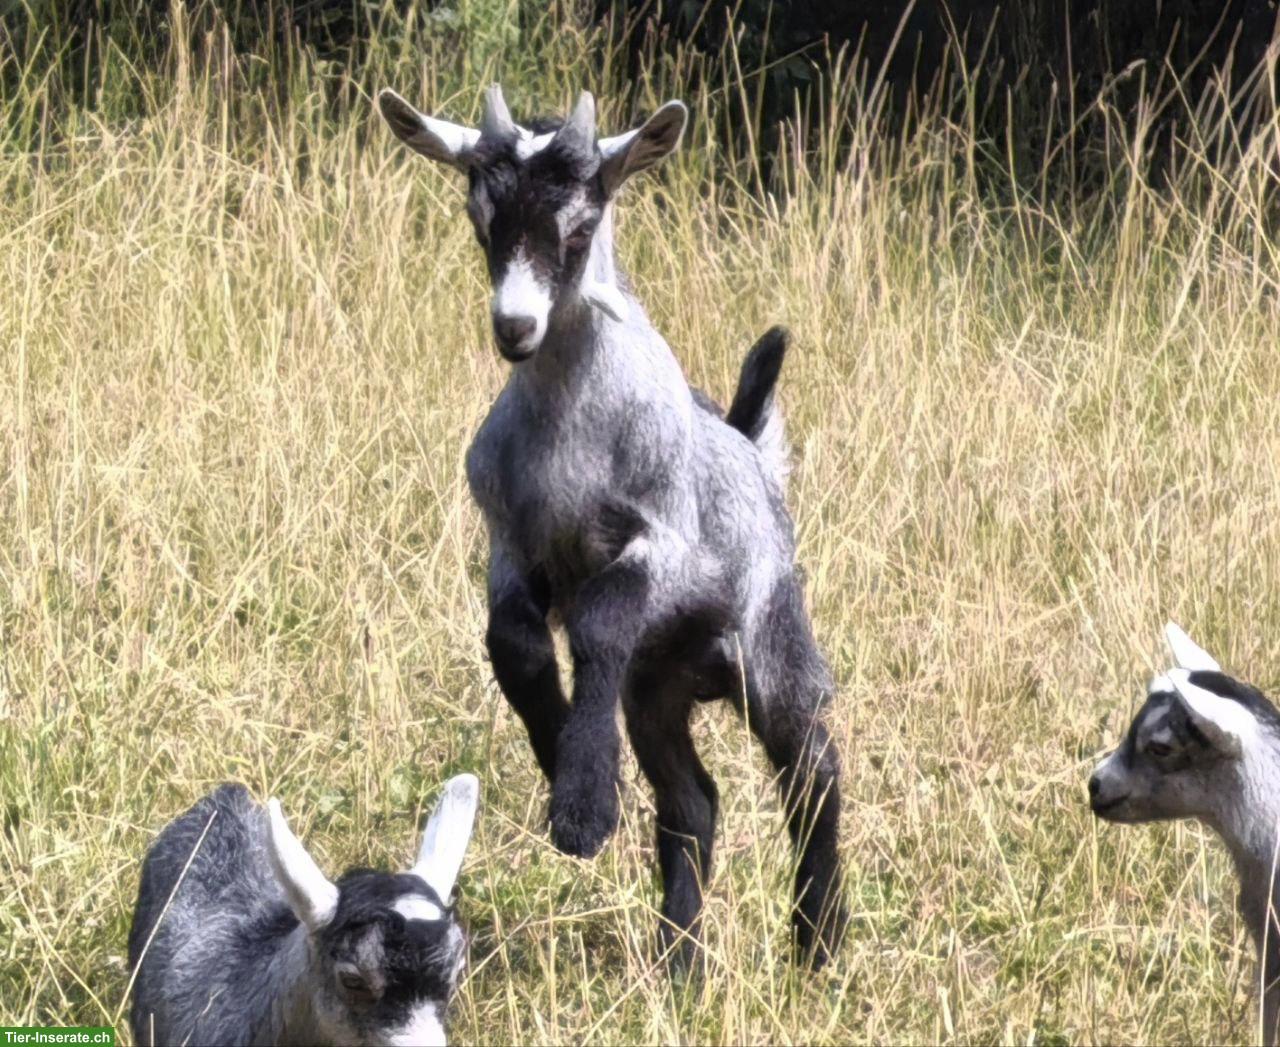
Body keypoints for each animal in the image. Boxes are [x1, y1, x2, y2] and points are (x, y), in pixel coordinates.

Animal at [378, 84, 846, 966]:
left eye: (580, 225)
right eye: (480, 218)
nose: (514, 327)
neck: (573, 435)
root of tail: (755, 454)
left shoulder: (661, 547)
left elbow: (596, 622)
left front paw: (586, 806)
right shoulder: (512, 544)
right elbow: (513, 642)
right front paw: (560, 754)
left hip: (767, 642)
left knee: (814, 771)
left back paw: (818, 944)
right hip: (656, 683)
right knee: (694, 800)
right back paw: (681, 960)